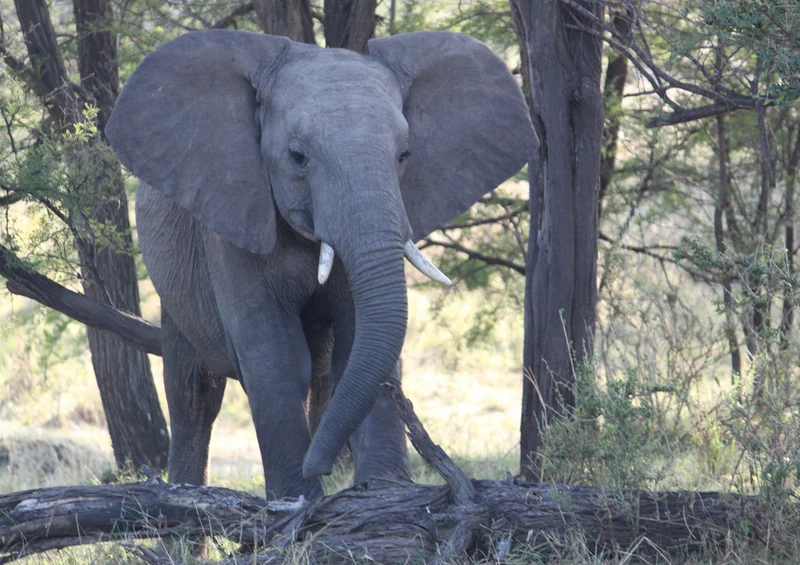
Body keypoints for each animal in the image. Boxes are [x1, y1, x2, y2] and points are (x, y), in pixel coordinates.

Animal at [105, 29, 536, 499]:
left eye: (404, 155)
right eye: (297, 157)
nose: (324, 468)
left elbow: (357, 343)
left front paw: (381, 491)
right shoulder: (233, 219)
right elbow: (275, 358)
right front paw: (298, 500)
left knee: (321, 376)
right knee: (194, 394)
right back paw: (184, 501)